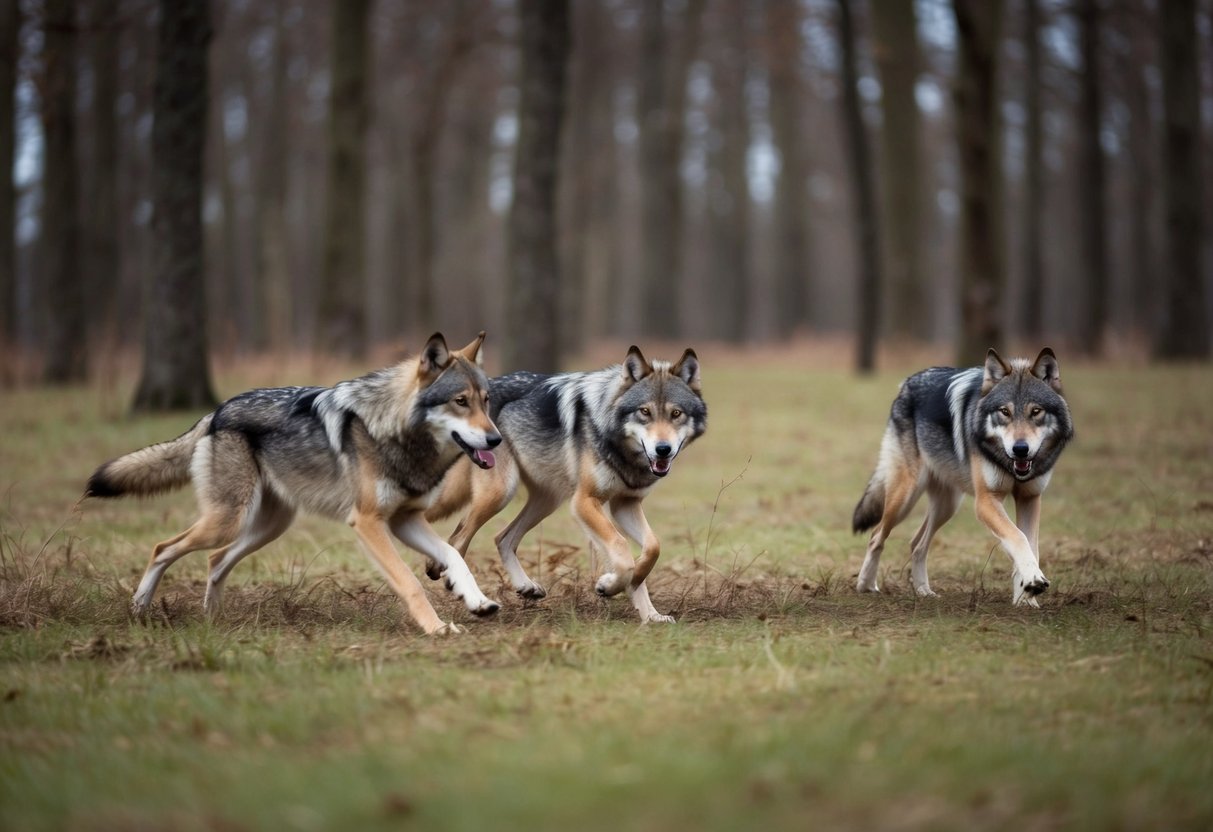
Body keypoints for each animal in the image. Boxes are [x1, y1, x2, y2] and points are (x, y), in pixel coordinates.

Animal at [84, 333, 504, 635]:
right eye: (460, 401)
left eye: (486, 400)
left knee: (215, 560)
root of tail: (216, 412)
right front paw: (436, 628)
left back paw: (212, 621)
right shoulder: (369, 522)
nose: (497, 439)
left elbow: (454, 556)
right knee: (163, 548)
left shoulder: (405, 519)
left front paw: (479, 602)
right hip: (229, 521)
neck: (395, 430)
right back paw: (139, 608)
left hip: (269, 526)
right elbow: (410, 581)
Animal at [425, 346, 707, 623]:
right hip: (502, 493)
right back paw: (458, 587)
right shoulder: (584, 501)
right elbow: (621, 548)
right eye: (645, 412)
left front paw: (649, 612)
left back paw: (525, 586)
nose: (663, 449)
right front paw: (610, 585)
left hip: (547, 500)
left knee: (501, 538)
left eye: (676, 414)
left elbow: (652, 548)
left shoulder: (625, 504)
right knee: (458, 536)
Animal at [852, 348, 1074, 605]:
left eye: (1036, 411)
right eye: (1005, 412)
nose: (1020, 449)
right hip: (905, 498)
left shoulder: (1030, 498)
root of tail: (907, 382)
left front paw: (1026, 597)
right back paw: (866, 584)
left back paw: (924, 591)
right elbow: (1018, 537)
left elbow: (1030, 545)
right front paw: (1031, 583)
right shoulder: (986, 501)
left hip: (947, 506)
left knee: (917, 544)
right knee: (876, 535)